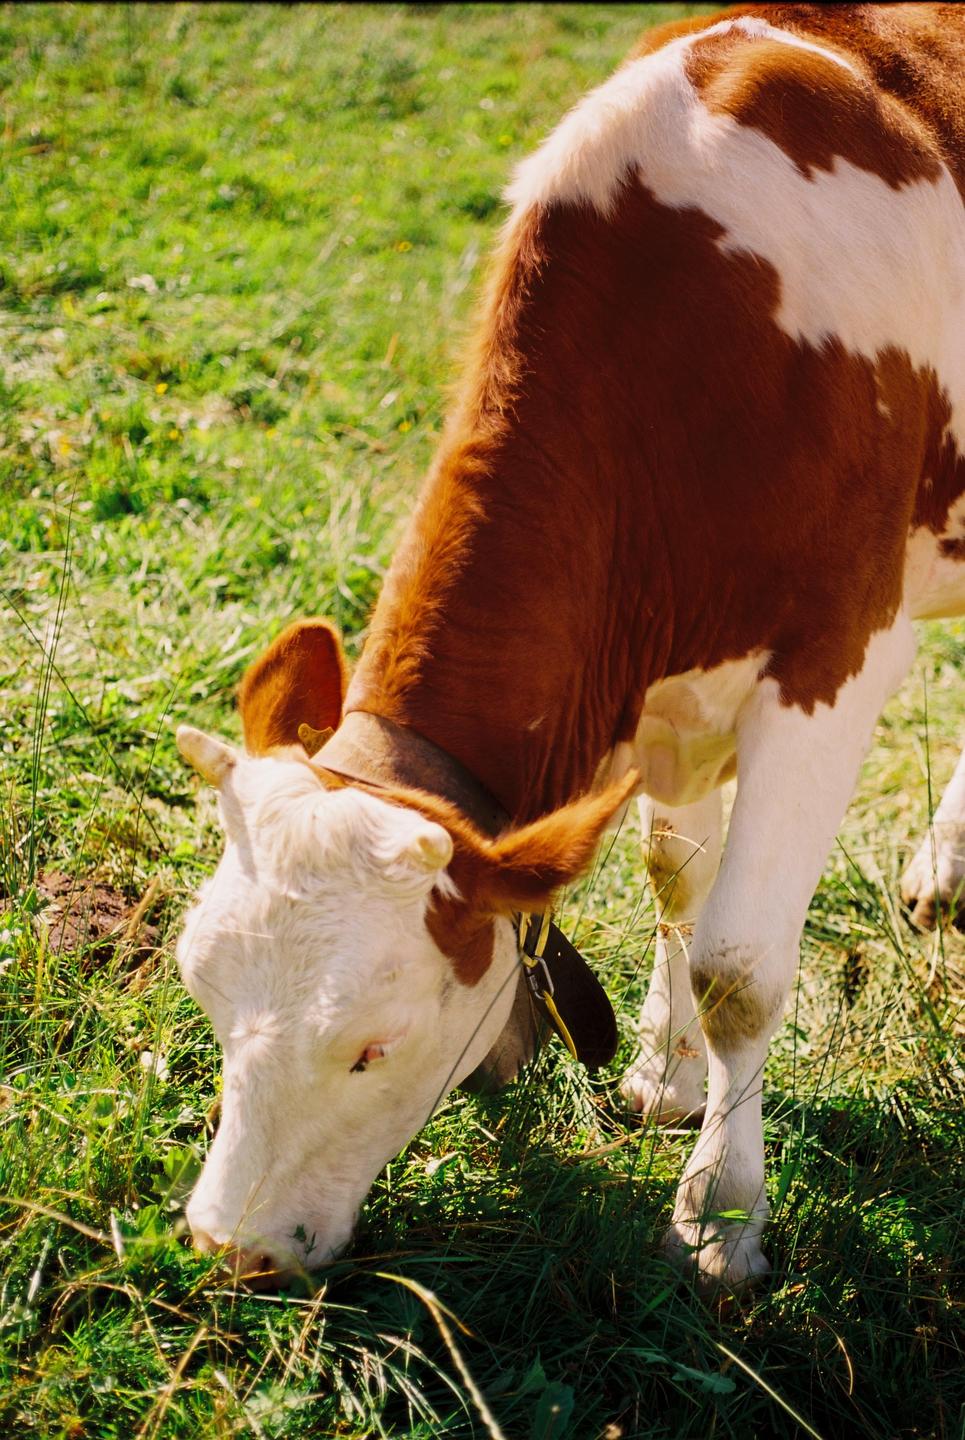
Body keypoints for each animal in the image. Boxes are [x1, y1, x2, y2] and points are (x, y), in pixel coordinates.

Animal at [173, 3, 965, 1291]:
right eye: (201, 987)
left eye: (372, 1045)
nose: (227, 1248)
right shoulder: (663, 678)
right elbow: (676, 881)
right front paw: (665, 1074)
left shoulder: (836, 652)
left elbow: (739, 963)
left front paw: (721, 1214)